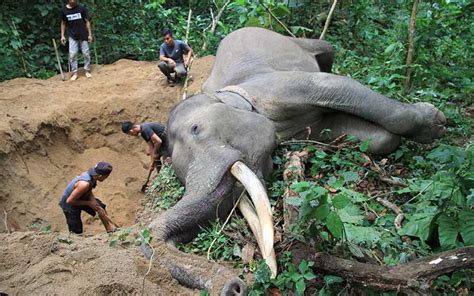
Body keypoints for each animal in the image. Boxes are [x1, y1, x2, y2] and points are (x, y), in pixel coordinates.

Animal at [146, 27, 446, 294]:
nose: (235, 286)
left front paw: (436, 123)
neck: (223, 93)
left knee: (326, 53)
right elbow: (378, 138)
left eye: (196, 129)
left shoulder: (275, 88)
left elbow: (330, 86)